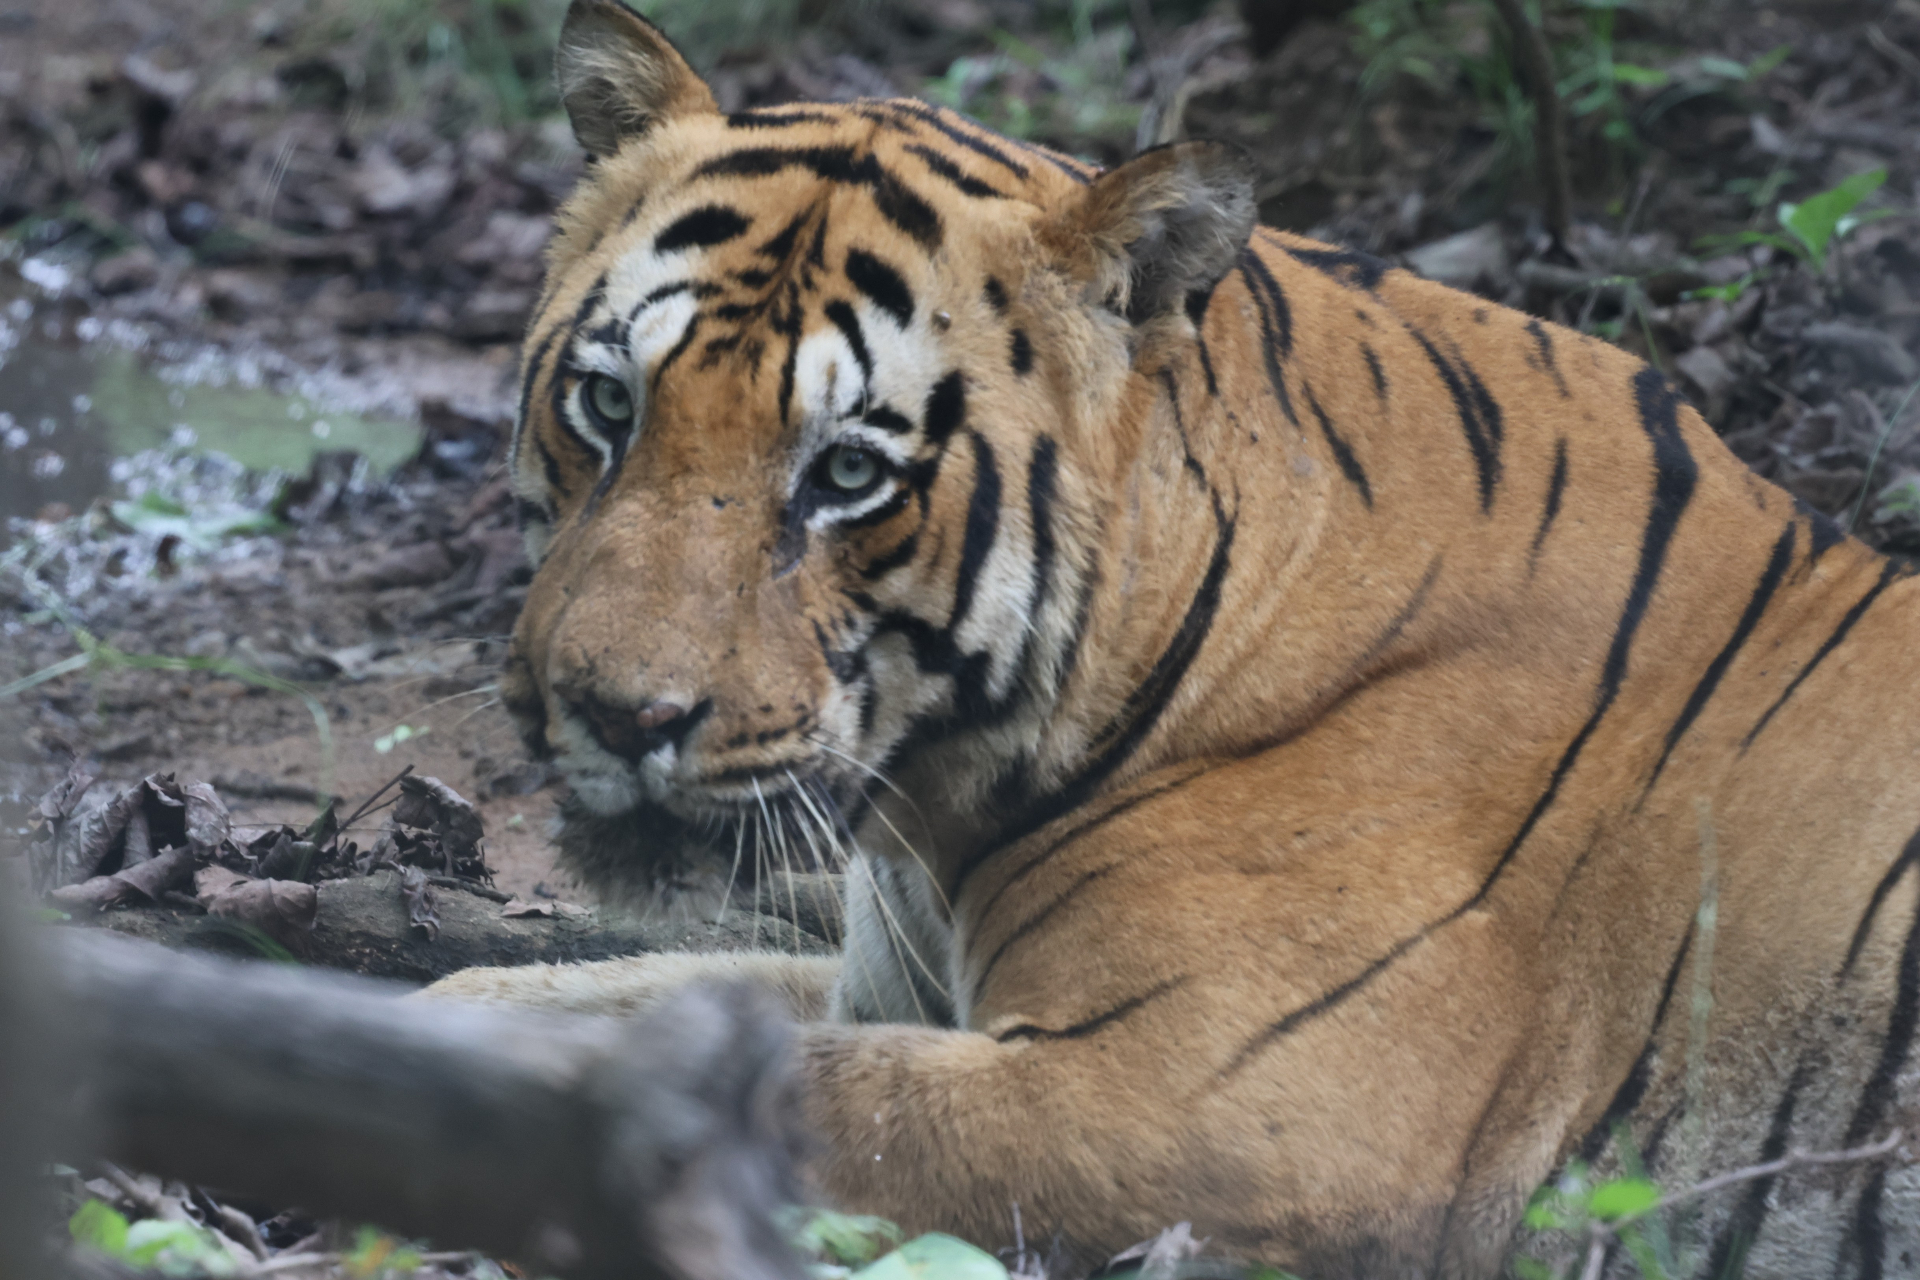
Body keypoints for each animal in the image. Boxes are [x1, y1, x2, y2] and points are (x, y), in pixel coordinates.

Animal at [425, 1, 1920, 1274]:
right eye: (609, 404)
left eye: (848, 472)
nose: (615, 713)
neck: (937, 811)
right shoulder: (884, 991)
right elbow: (531, 1002)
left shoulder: (1238, 1116)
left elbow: (799, 1109)